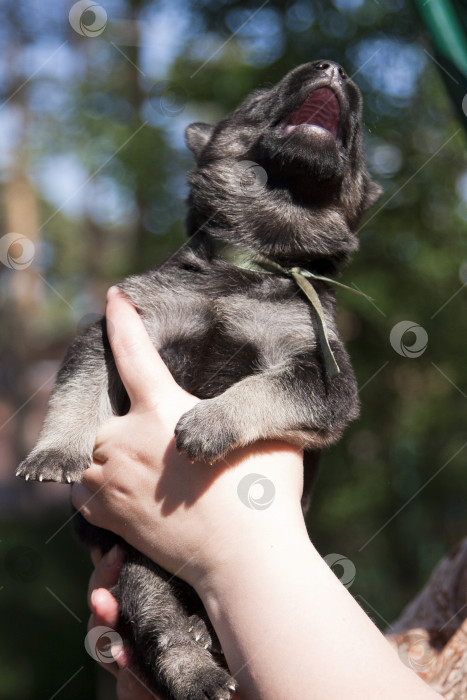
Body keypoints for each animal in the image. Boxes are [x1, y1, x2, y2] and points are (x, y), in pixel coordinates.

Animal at [19, 61, 384, 700]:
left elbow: (267, 388)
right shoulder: (115, 328)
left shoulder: (323, 375)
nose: (334, 67)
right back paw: (198, 672)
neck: (254, 258)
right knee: (164, 630)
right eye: (262, 94)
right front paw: (55, 450)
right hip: (142, 573)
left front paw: (211, 422)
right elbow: (75, 392)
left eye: (361, 131)